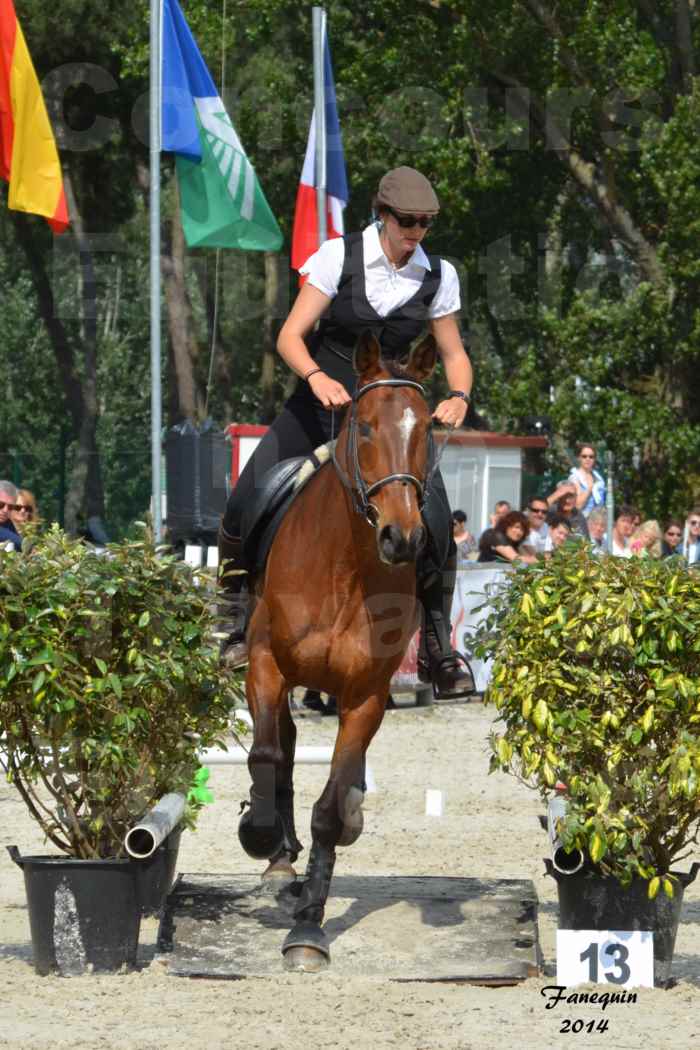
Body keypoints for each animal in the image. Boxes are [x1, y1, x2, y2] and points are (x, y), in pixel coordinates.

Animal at [239, 331, 438, 970]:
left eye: (426, 427)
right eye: (366, 427)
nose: (402, 538)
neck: (344, 567)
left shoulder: (365, 698)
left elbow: (329, 807)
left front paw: (309, 928)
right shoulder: (266, 664)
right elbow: (266, 754)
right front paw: (261, 836)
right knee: (280, 746)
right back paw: (277, 853)